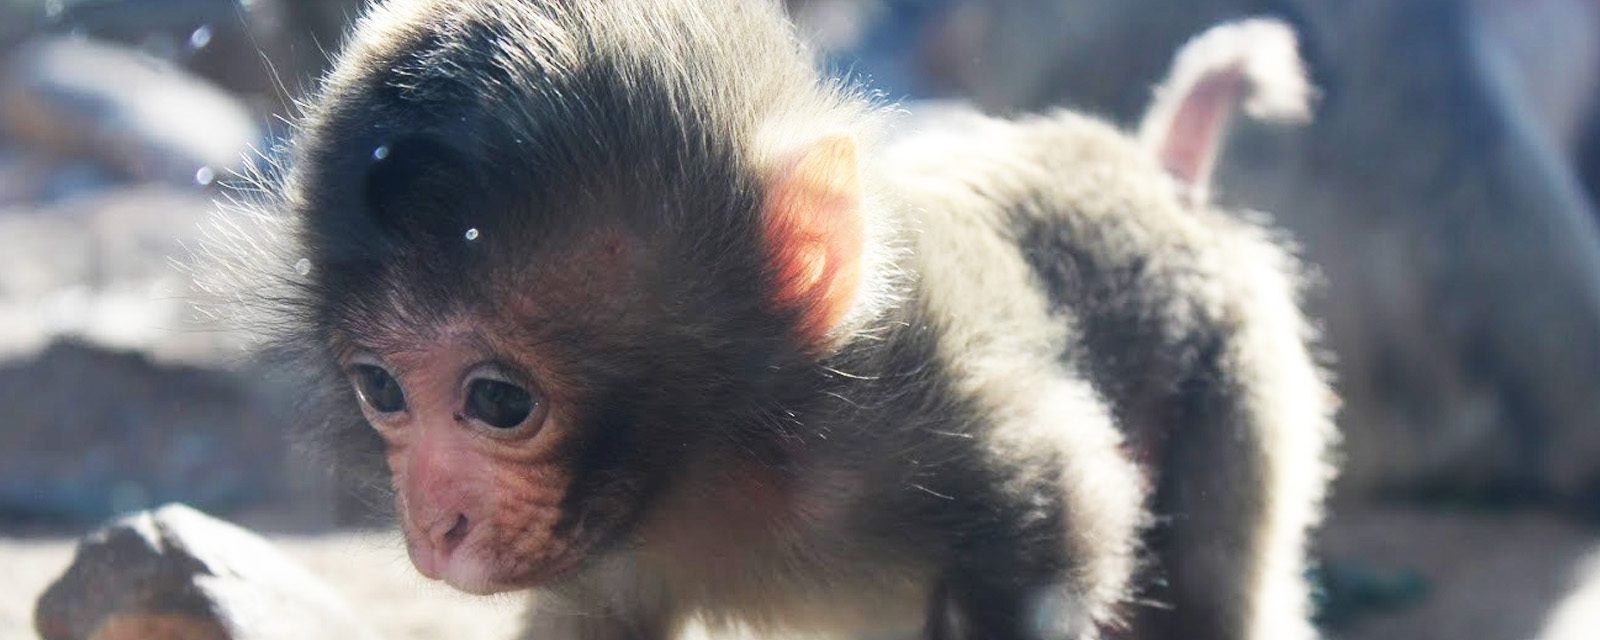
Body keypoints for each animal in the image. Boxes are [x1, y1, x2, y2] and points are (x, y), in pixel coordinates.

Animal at [212, 2, 1337, 636]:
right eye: (381, 388)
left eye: (497, 401)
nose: (435, 523)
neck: (733, 461)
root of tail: (1160, 179)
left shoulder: (944, 414)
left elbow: (1064, 522)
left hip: (1240, 370)